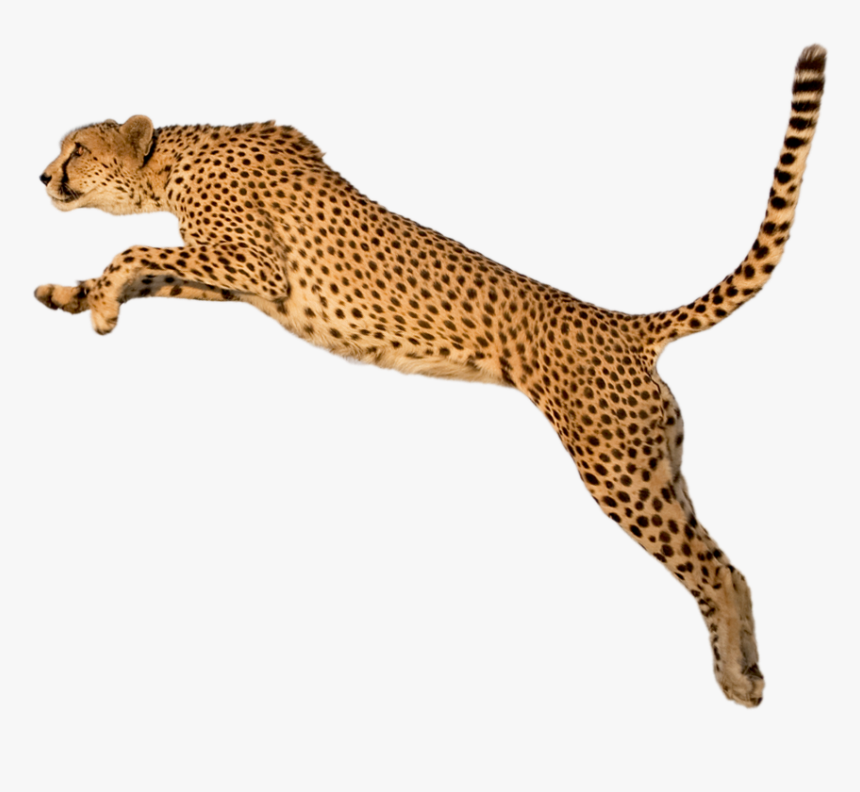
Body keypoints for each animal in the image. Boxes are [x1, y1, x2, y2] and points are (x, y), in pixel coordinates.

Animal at [36, 45, 826, 707]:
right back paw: (743, 668)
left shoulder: (255, 267)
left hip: (618, 471)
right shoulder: (242, 286)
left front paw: (99, 305)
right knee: (724, 564)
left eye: (78, 148)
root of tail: (625, 324)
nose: (43, 175)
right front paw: (72, 296)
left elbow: (132, 252)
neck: (172, 160)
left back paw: (739, 681)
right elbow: (146, 272)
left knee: (713, 570)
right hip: (657, 465)